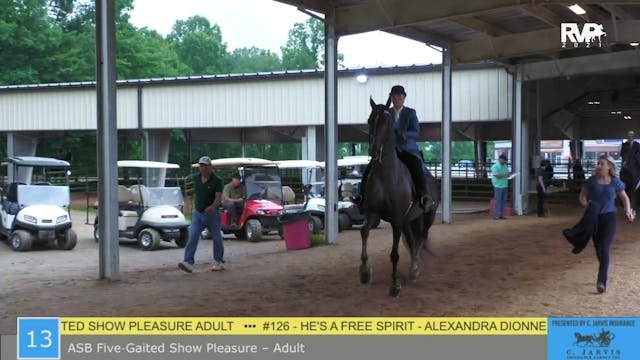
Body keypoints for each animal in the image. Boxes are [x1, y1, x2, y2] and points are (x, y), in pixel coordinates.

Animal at [358, 97, 442, 296]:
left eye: (385, 121)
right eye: (369, 120)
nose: (373, 151)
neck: (385, 174)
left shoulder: (396, 220)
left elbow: (394, 254)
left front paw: (395, 285)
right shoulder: (373, 213)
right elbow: (364, 232)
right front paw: (364, 272)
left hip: (428, 215)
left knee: (421, 239)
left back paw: (414, 270)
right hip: (408, 221)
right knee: (412, 240)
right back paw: (414, 267)